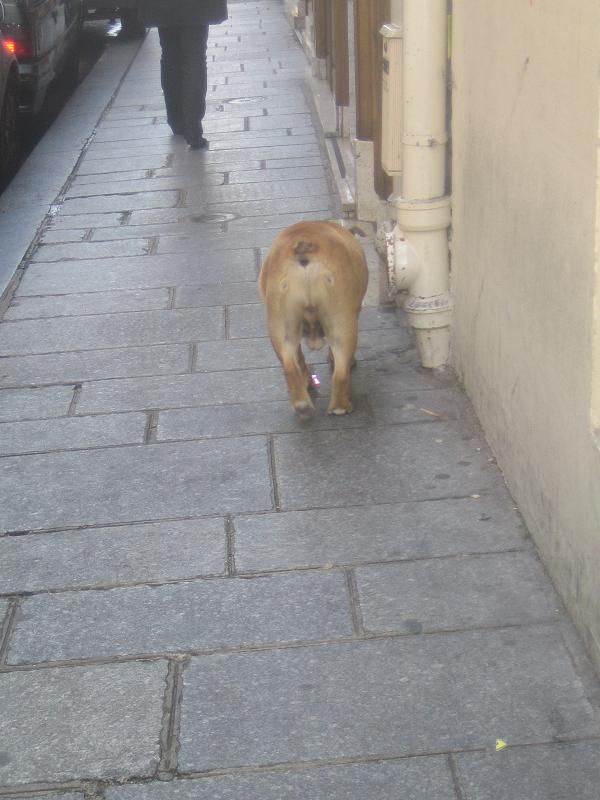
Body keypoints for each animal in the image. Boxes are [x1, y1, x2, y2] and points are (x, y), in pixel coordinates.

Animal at [258, 220, 369, 415]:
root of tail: (305, 244)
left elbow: (300, 357)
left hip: (282, 327)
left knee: (291, 364)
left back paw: (301, 401)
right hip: (342, 324)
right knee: (340, 371)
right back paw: (341, 406)